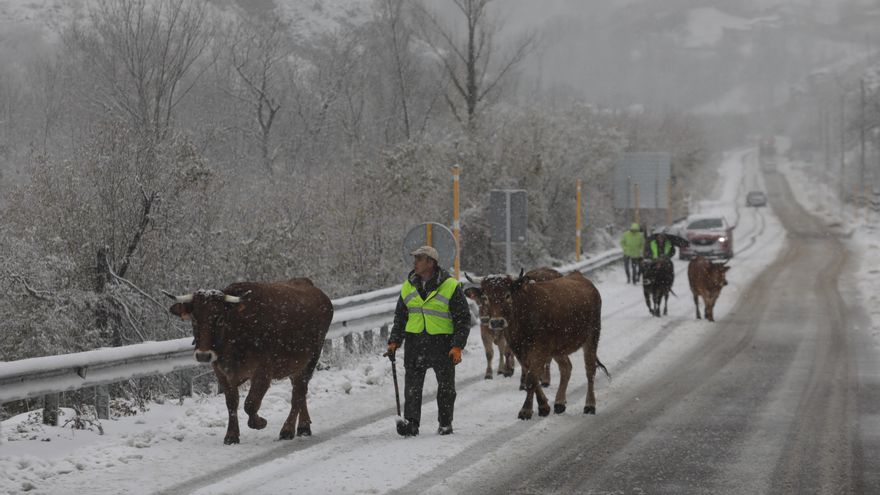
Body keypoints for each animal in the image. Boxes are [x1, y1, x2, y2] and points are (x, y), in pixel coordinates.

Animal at [163, 280, 332, 446]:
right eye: (194, 318)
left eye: (220, 319)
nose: (203, 355)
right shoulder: (222, 373)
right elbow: (232, 403)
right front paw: (231, 436)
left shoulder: (263, 372)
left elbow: (250, 403)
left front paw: (259, 422)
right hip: (296, 365)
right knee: (299, 390)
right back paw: (303, 426)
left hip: (312, 358)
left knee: (298, 393)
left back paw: (288, 429)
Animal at [470, 272, 608, 418]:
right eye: (485, 297)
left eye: (507, 295)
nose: (497, 322)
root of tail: (580, 277)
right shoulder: (520, 351)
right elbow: (533, 376)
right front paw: (543, 406)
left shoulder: (539, 350)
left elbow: (532, 378)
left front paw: (526, 410)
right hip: (558, 348)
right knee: (566, 368)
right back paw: (559, 403)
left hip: (592, 337)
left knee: (590, 370)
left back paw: (590, 405)